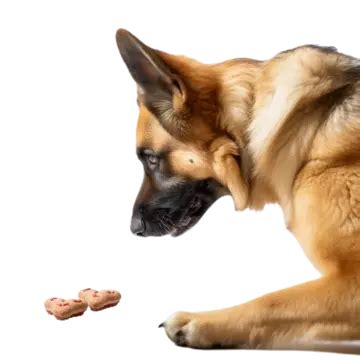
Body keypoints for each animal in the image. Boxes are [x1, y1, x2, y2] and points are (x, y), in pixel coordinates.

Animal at [116, 28, 360, 354]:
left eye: (152, 159)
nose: (134, 229)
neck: (310, 126)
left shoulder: (351, 278)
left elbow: (272, 302)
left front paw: (200, 322)